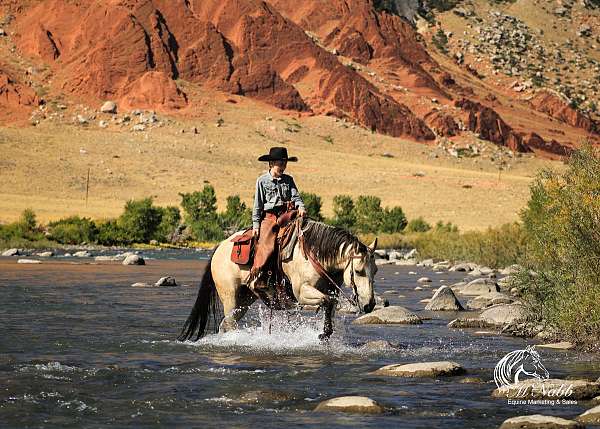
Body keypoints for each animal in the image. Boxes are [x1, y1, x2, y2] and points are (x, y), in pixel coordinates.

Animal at [176, 217, 378, 342]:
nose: (369, 305)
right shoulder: (302, 292)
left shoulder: (329, 290)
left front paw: (326, 334)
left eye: (375, 271)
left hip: (245, 298)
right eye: (359, 271)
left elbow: (331, 304)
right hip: (229, 296)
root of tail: (219, 248)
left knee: (225, 324)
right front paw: (324, 334)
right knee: (230, 323)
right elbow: (327, 301)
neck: (314, 254)